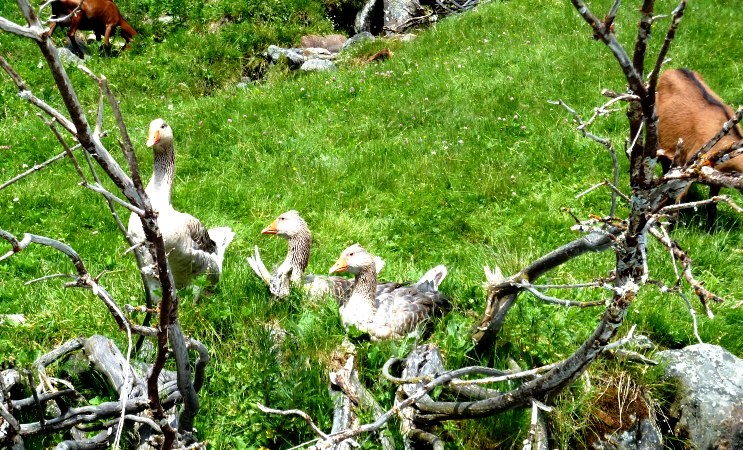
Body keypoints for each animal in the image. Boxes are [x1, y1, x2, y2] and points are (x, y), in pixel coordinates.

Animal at [656, 68, 743, 226]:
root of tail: (674, 70)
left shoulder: (718, 177)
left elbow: (712, 205)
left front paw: (711, 229)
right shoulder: (687, 170)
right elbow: (676, 206)